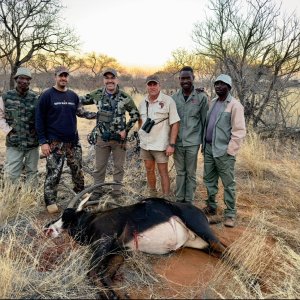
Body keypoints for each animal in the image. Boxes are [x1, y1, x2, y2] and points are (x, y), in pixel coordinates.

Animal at [44, 183, 226, 298]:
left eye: (67, 216)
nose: (48, 228)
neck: (92, 220)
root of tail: (200, 212)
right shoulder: (120, 251)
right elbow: (106, 274)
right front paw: (116, 295)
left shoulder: (104, 241)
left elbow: (92, 272)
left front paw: (108, 296)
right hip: (200, 243)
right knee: (219, 251)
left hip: (199, 227)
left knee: (222, 248)